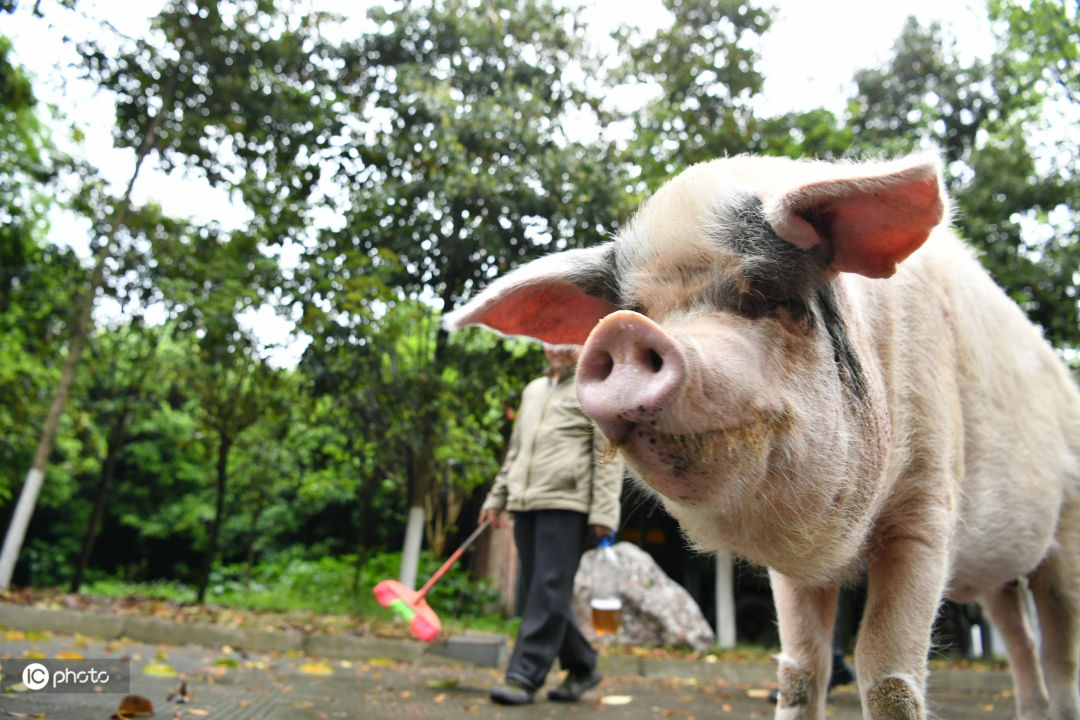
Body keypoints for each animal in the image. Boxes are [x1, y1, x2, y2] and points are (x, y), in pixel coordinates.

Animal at [442, 153, 1080, 720]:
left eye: (760, 293)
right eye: (638, 308)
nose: (622, 331)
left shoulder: (928, 508)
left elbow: (887, 671)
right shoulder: (793, 567)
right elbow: (799, 669)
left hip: (1065, 536)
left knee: (1056, 650)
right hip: (1004, 575)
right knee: (1019, 640)